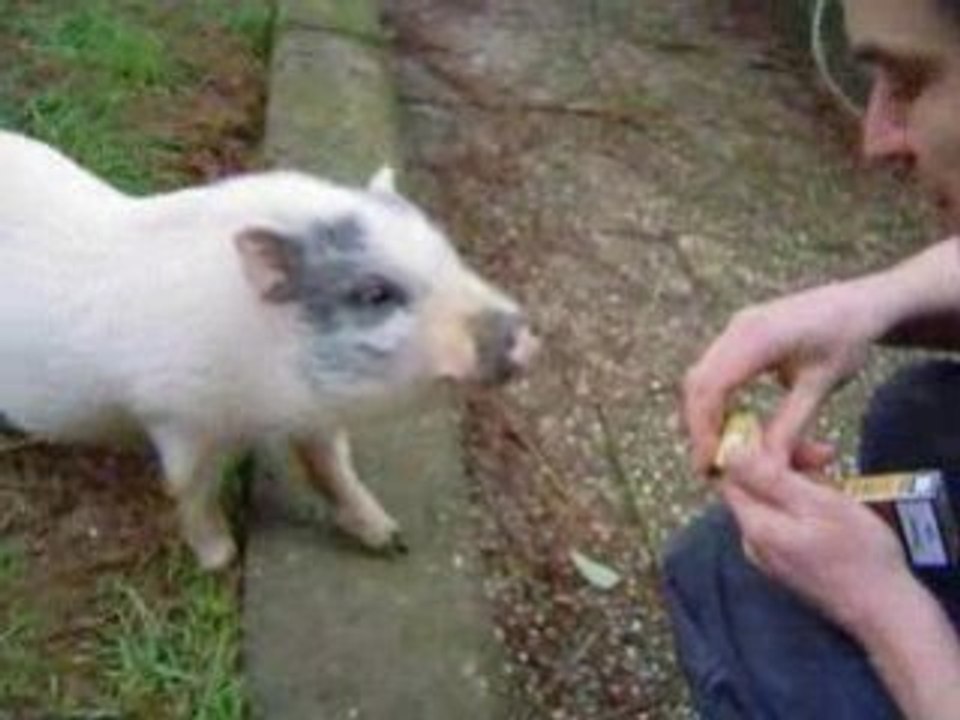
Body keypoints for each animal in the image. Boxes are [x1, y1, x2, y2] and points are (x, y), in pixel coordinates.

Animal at [0, 130, 538, 570]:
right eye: (375, 295)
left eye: (448, 253)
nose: (523, 336)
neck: (266, 403)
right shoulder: (176, 418)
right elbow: (190, 490)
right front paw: (222, 559)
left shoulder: (314, 416)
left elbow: (331, 467)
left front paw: (392, 540)